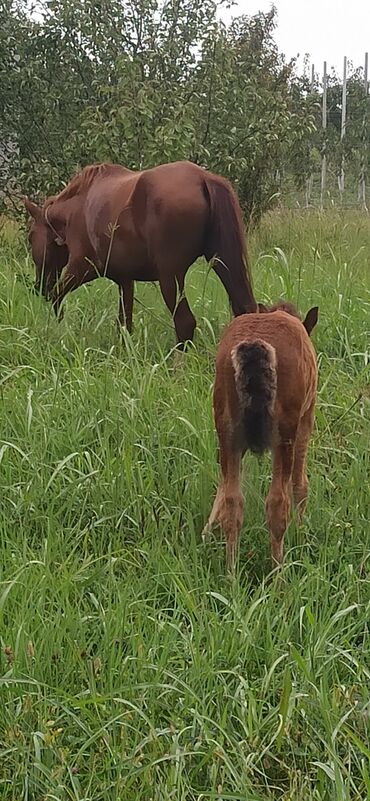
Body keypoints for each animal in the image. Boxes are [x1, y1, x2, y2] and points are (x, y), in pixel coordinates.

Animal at [21, 161, 256, 346]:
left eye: (31, 237)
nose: (39, 286)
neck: (76, 208)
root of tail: (203, 178)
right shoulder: (125, 280)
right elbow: (124, 324)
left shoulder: (83, 267)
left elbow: (56, 297)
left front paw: (61, 330)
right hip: (222, 261)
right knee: (247, 308)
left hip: (170, 277)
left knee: (184, 323)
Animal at [202, 300, 318, 568]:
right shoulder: (306, 417)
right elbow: (300, 483)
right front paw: (301, 532)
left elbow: (222, 486)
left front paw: (207, 531)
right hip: (283, 434)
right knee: (277, 502)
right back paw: (278, 574)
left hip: (227, 430)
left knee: (233, 501)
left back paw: (231, 572)